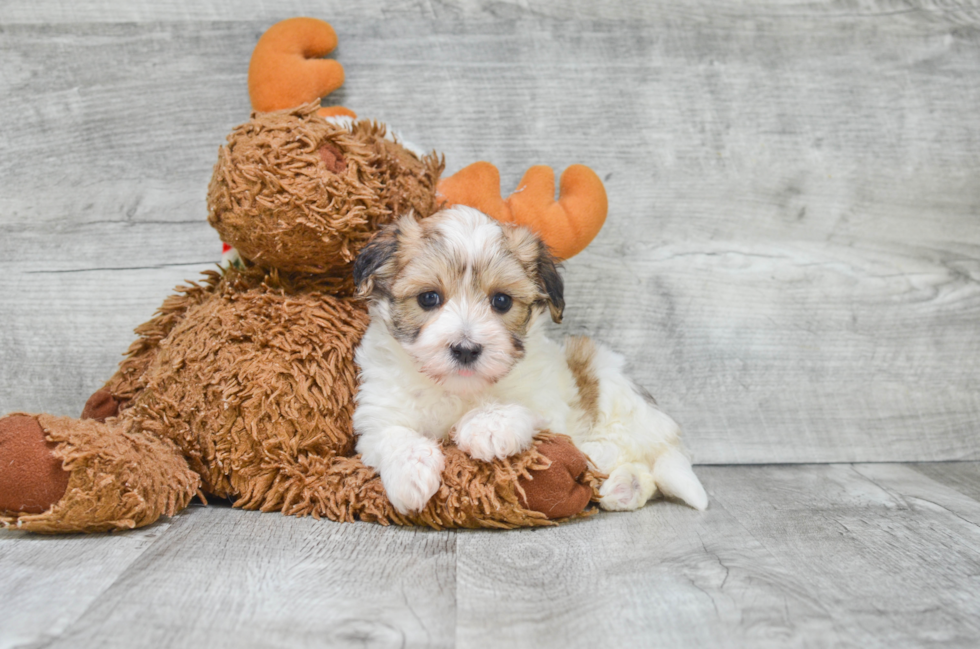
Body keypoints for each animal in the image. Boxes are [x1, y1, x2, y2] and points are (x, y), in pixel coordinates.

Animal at [352, 208, 704, 516]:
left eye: (501, 301)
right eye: (428, 298)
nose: (466, 348)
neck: (458, 389)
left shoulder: (549, 404)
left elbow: (526, 411)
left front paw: (486, 427)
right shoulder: (379, 413)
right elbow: (391, 434)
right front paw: (410, 475)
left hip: (609, 385)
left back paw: (603, 463)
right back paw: (621, 487)